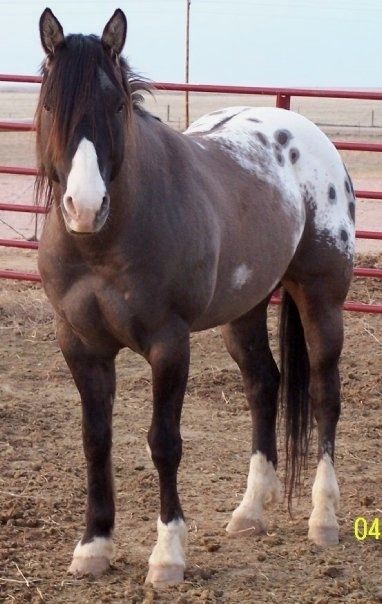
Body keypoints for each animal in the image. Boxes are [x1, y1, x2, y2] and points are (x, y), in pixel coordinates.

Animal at [35, 7, 356, 588]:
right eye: (51, 103)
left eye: (116, 104)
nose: (85, 207)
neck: (106, 241)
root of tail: (308, 136)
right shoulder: (80, 345)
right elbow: (95, 439)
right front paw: (93, 546)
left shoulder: (169, 343)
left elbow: (164, 442)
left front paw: (167, 556)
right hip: (245, 310)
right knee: (263, 385)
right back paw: (250, 512)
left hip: (321, 299)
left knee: (325, 395)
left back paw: (323, 519)